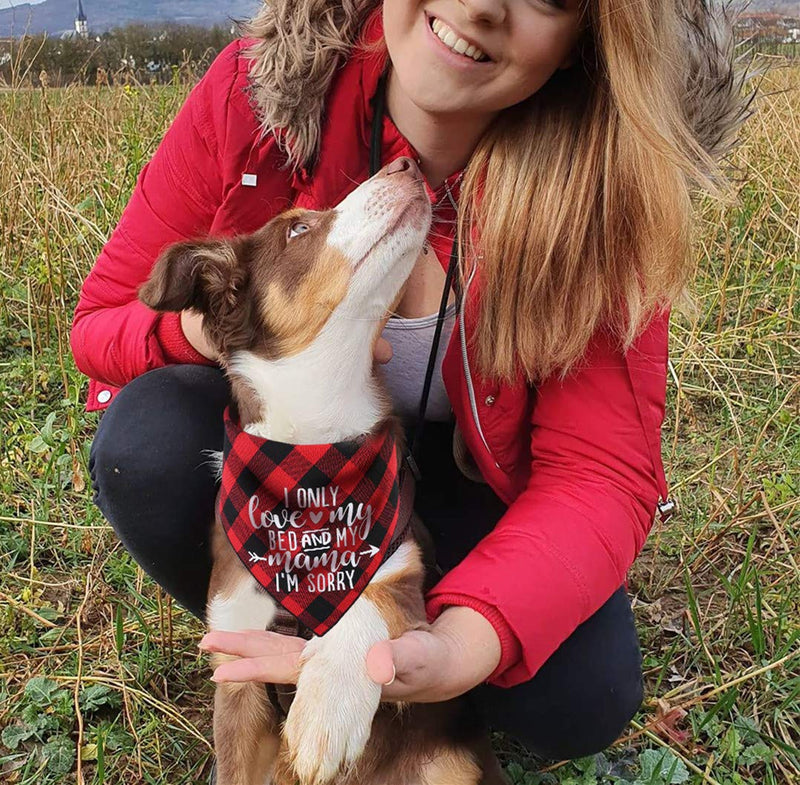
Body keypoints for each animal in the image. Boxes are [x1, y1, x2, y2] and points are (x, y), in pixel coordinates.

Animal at [138, 158, 500, 784]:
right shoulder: (237, 669)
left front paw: (326, 710)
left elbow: (368, 600)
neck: (313, 458)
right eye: (298, 229)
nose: (406, 164)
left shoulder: (405, 567)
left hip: (453, 763)